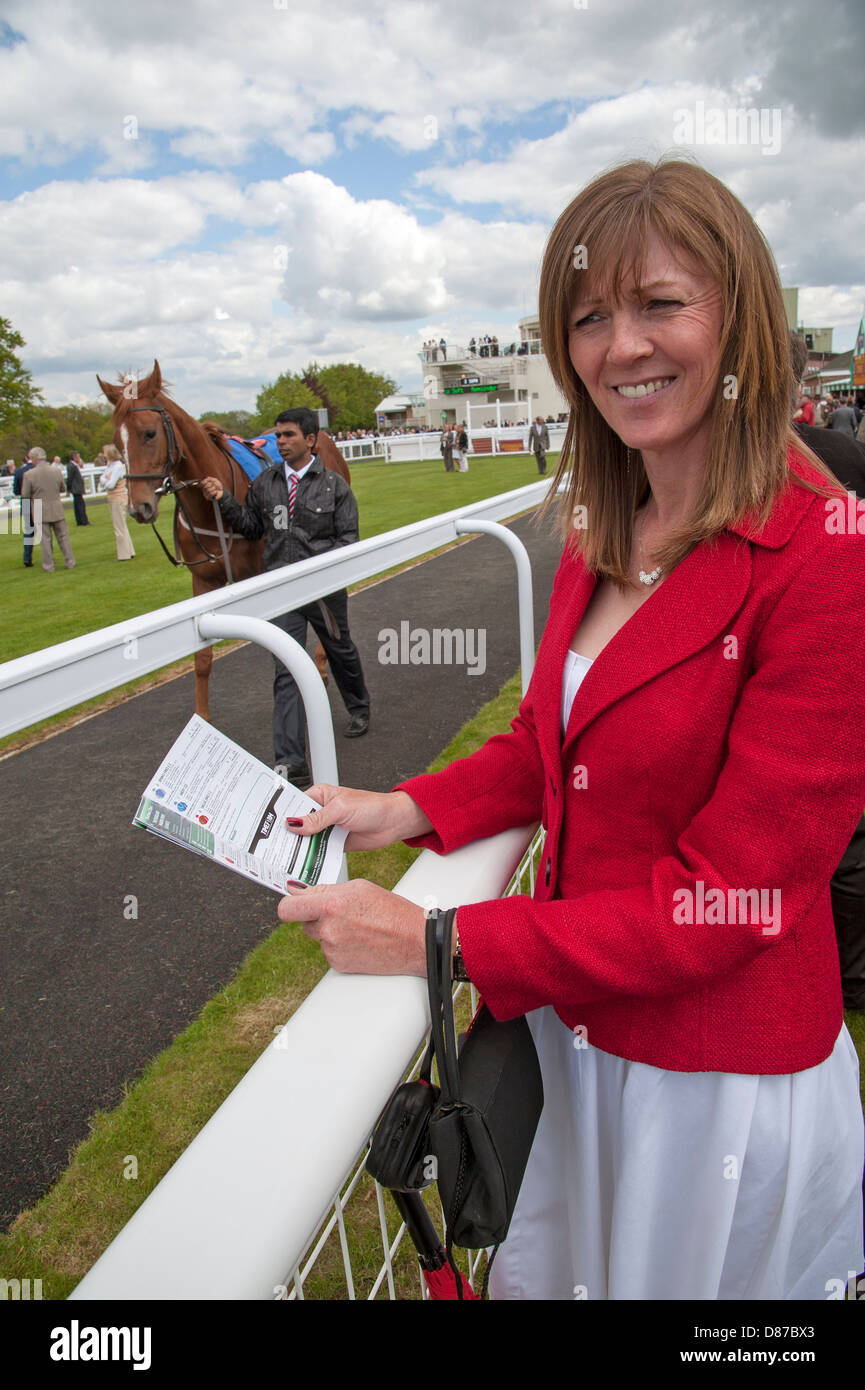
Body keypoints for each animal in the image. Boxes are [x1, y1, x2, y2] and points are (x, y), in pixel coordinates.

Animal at [95, 361, 353, 717]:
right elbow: (202, 658)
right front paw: (202, 718)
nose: (139, 507)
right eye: (116, 442)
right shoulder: (203, 581)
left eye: (149, 433)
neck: (212, 512)